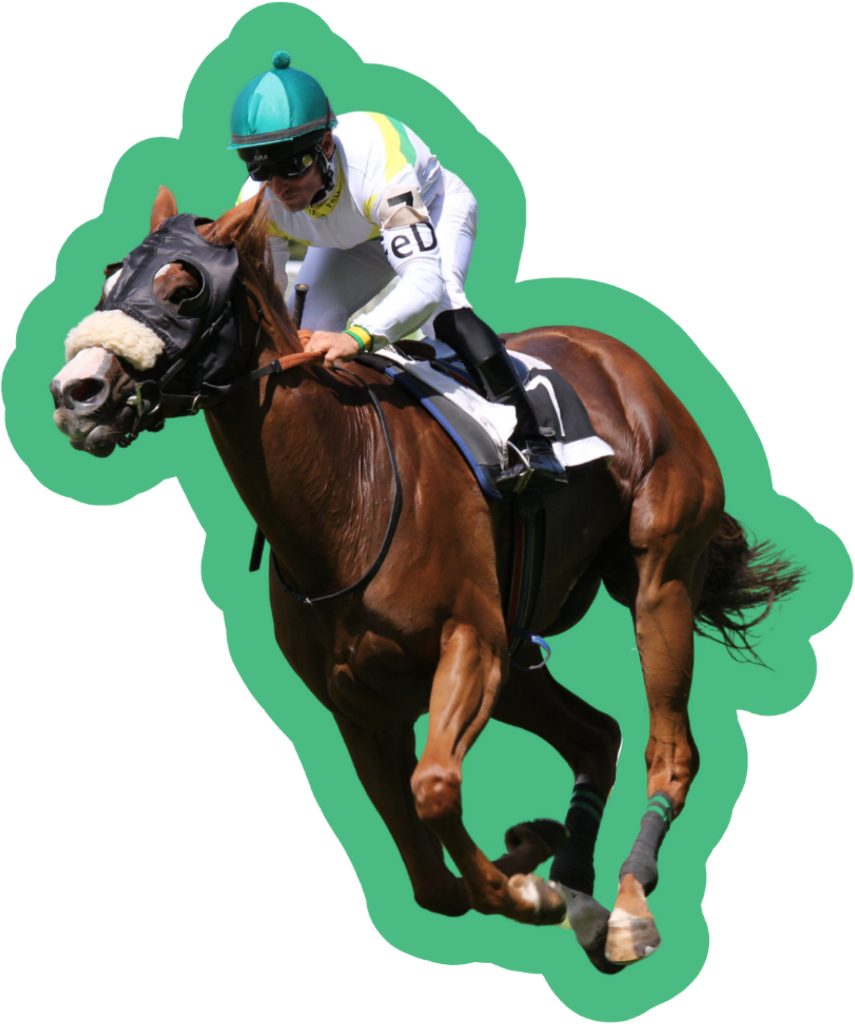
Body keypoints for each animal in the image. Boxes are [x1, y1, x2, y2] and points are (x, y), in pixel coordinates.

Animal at [50, 186, 800, 971]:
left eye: (185, 289)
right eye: (110, 279)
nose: (78, 392)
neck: (346, 492)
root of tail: (623, 359)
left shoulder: (470, 644)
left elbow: (434, 789)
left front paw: (528, 890)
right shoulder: (358, 704)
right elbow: (429, 879)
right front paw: (532, 860)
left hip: (658, 579)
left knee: (670, 749)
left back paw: (626, 907)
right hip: (522, 656)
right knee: (596, 735)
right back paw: (575, 883)